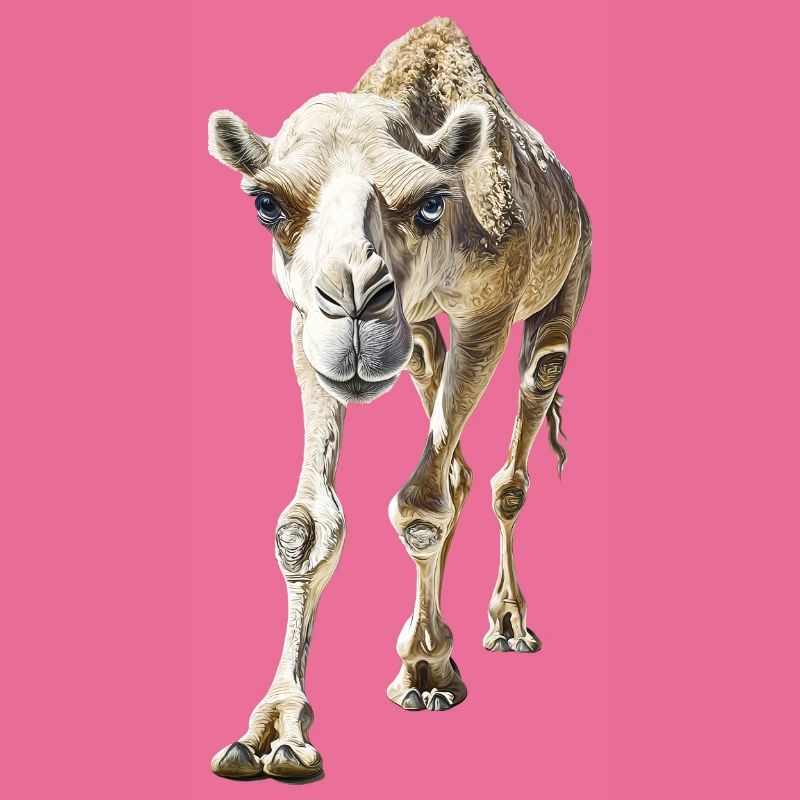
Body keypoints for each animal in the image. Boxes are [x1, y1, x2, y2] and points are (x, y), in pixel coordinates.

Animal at [207, 17, 591, 780]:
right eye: (267, 204)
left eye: (431, 202)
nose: (355, 299)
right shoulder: (305, 324)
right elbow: (306, 525)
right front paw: (272, 731)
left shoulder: (488, 314)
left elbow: (419, 507)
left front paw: (426, 670)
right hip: (415, 337)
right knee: (453, 453)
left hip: (569, 279)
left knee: (526, 417)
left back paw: (506, 626)